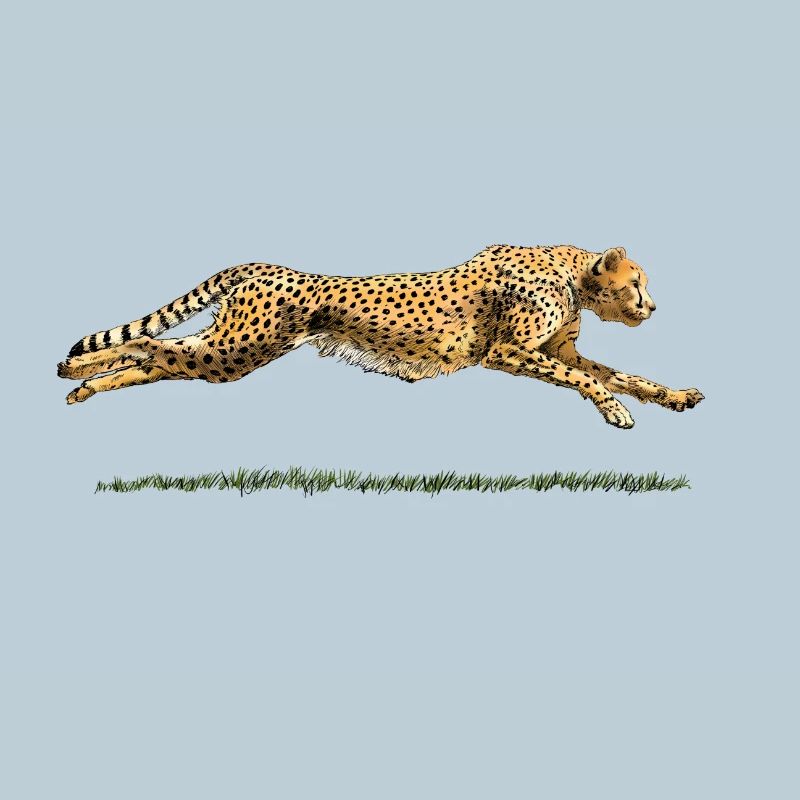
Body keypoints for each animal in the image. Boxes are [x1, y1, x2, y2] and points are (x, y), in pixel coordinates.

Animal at [57, 244, 704, 428]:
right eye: (637, 283)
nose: (653, 306)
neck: (573, 275)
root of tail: (263, 265)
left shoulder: (554, 349)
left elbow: (620, 374)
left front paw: (673, 396)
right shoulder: (506, 351)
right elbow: (581, 378)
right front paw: (616, 412)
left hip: (229, 354)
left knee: (161, 358)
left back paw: (80, 386)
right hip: (237, 349)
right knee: (151, 346)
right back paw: (73, 368)